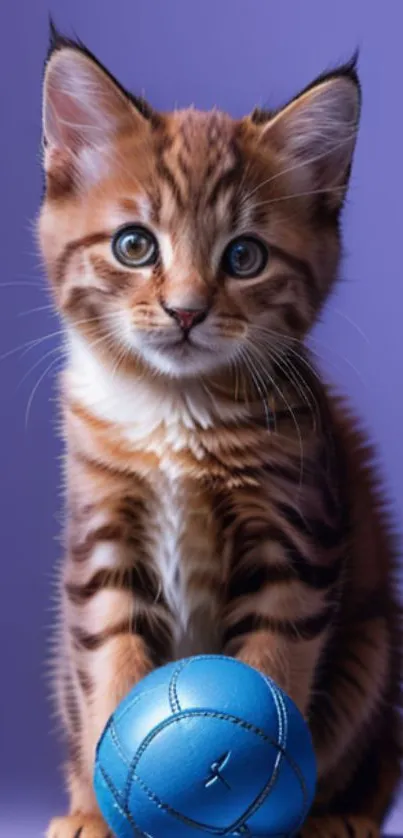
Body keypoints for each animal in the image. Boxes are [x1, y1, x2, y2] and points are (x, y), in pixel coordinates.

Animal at [40, 27, 400, 838]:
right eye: (135, 246)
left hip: (374, 645)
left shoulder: (293, 549)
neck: (175, 408)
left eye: (244, 256)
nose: (185, 310)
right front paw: (105, 814)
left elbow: (270, 677)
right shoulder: (102, 547)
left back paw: (338, 815)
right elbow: (111, 672)